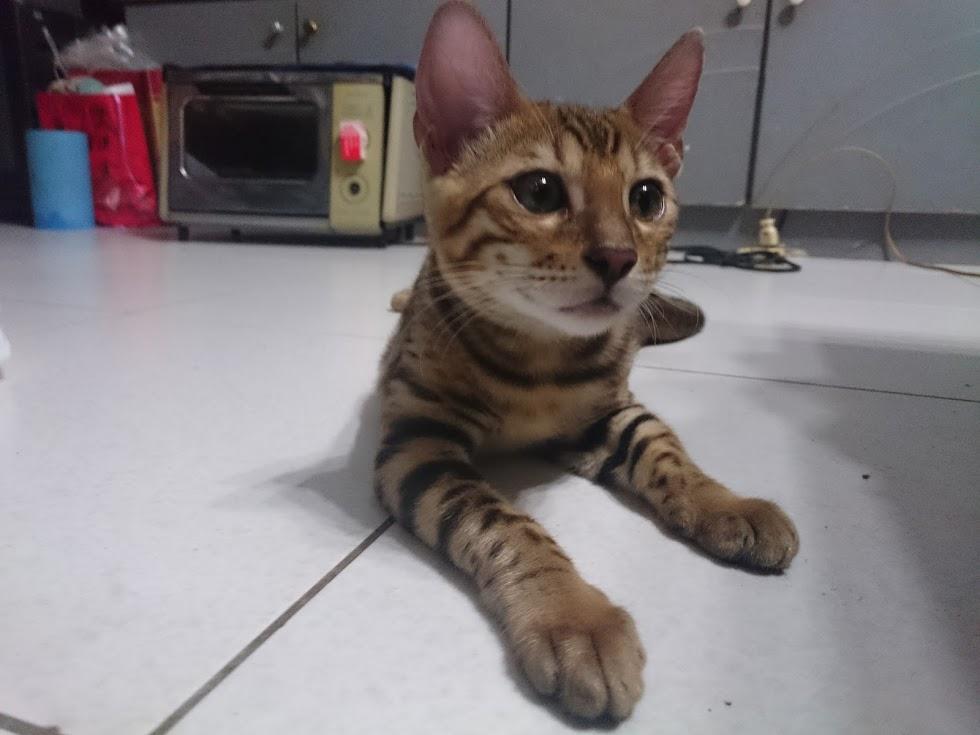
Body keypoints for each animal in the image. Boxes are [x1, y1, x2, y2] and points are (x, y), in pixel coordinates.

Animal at [375, 1, 798, 720]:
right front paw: (574, 617)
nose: (619, 257)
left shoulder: (611, 409)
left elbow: (666, 449)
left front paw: (725, 501)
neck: (539, 357)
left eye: (647, 198)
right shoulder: (417, 440)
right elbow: (501, 520)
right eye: (540, 191)